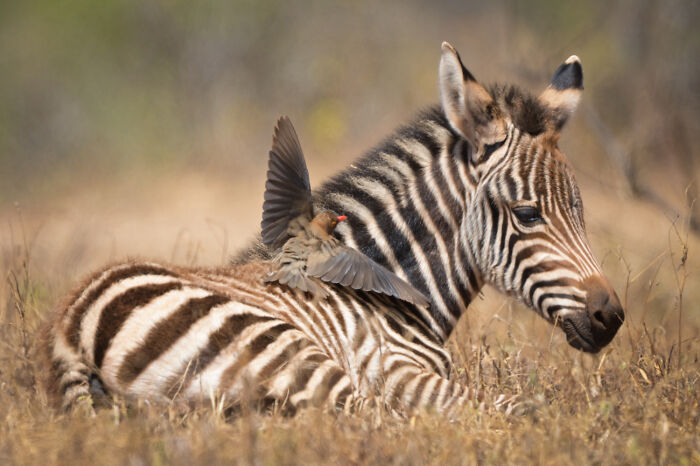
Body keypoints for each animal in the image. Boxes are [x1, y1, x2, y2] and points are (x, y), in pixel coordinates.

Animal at [41, 42, 624, 417]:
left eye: (581, 214)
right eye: (528, 214)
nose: (612, 317)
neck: (396, 292)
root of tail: (73, 327)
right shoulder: (394, 369)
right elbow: (519, 405)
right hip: (284, 349)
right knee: (365, 418)